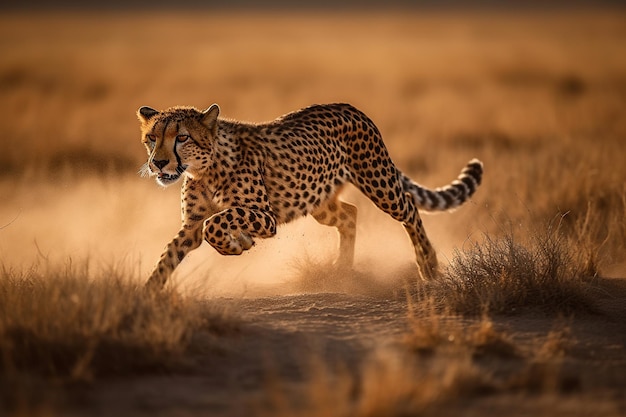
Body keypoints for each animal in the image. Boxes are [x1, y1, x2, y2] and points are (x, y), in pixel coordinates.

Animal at [136, 102, 480, 288]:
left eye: (182, 137)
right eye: (151, 138)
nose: (159, 163)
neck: (204, 169)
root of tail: (351, 108)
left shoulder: (266, 217)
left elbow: (218, 223)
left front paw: (238, 244)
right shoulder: (191, 225)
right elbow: (170, 254)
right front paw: (147, 295)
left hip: (379, 183)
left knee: (409, 209)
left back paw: (428, 263)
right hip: (316, 198)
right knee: (350, 214)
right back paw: (341, 270)